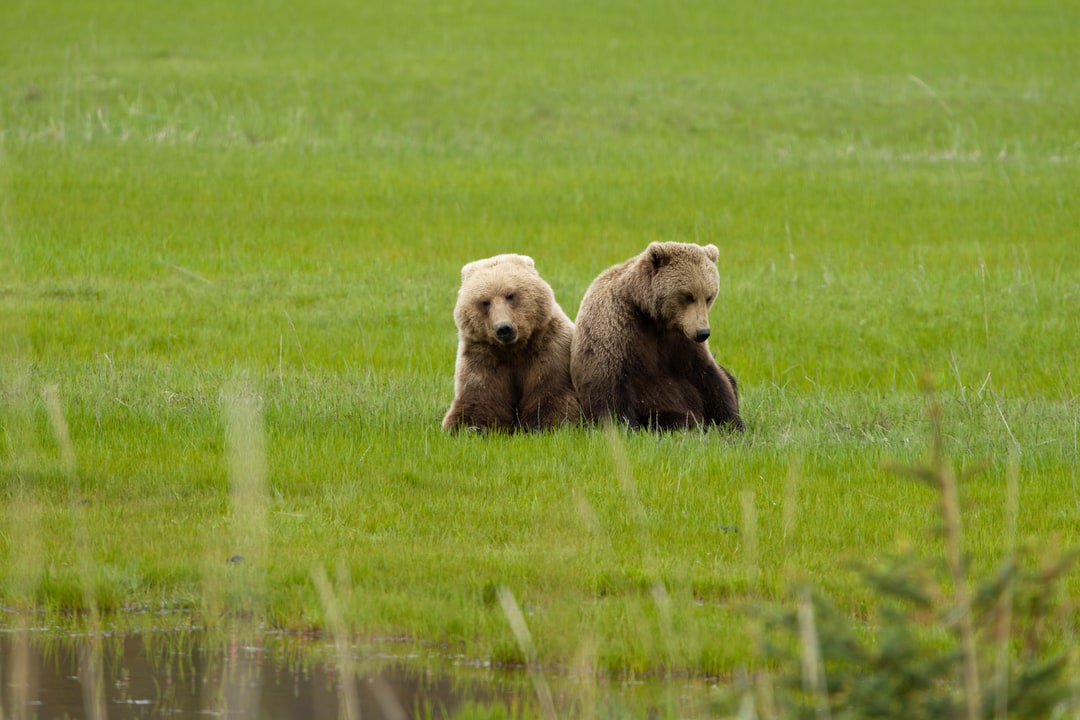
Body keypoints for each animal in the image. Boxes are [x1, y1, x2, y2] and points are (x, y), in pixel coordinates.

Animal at [443, 253, 580, 432]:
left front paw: (539, 425)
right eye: (485, 301)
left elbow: (550, 394)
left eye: (510, 295)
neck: (513, 350)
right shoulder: (482, 357)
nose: (503, 328)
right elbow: (480, 399)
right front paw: (470, 427)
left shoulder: (549, 349)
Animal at [570, 241, 744, 431]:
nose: (703, 333)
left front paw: (732, 424)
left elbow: (709, 376)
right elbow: (608, 385)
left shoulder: (681, 341)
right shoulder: (617, 326)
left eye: (709, 296)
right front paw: (625, 426)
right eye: (688, 296)